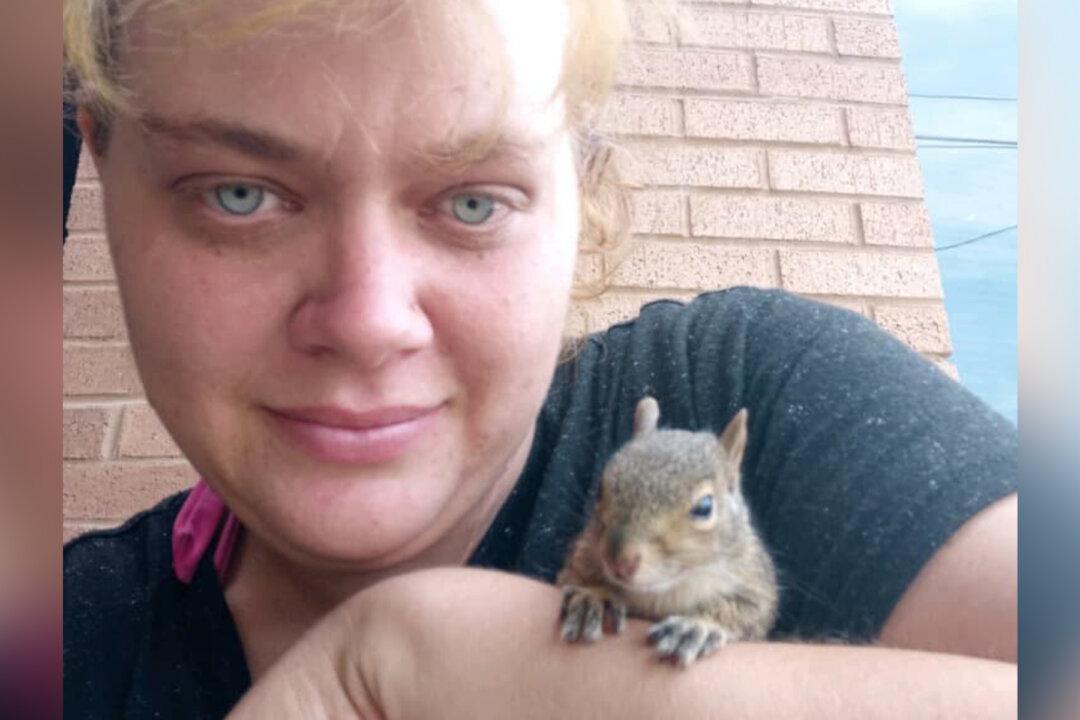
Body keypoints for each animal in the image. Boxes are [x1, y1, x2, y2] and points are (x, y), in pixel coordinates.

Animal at [556, 396, 779, 667]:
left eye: (705, 507)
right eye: (600, 488)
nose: (619, 561)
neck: (666, 588)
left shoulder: (752, 579)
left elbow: (749, 611)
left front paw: (698, 625)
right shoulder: (584, 554)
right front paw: (594, 595)